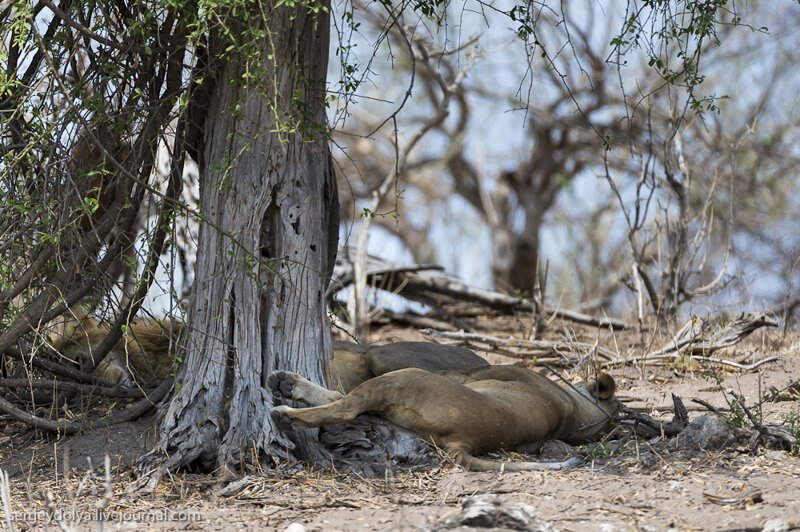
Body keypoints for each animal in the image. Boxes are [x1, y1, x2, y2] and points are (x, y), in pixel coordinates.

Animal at [268, 344, 620, 474]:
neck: (572, 411)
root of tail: (466, 443)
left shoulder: (467, 373)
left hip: (408, 378)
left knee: (345, 407)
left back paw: (286, 411)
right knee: (345, 402)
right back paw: (286, 385)